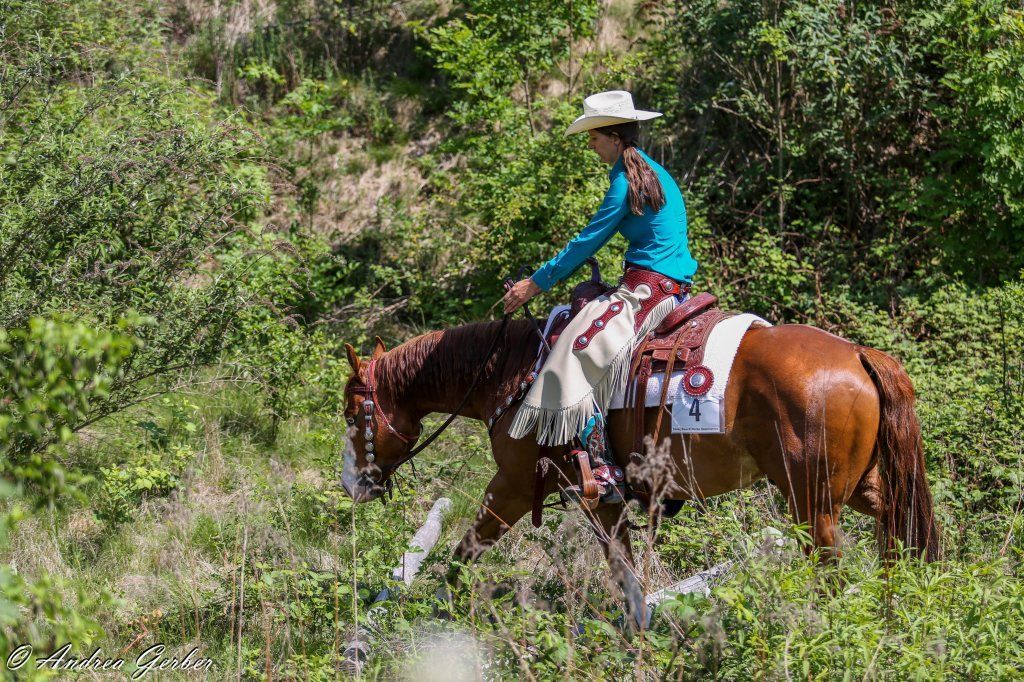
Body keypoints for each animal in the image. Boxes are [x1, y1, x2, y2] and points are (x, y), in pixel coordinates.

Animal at [340, 316, 940, 625]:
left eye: (351, 412)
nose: (353, 485)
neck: (510, 373)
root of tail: (858, 354)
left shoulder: (510, 486)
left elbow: (464, 551)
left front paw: (433, 612)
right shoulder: (602, 501)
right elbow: (626, 575)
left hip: (809, 500)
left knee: (831, 565)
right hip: (860, 487)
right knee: (895, 530)